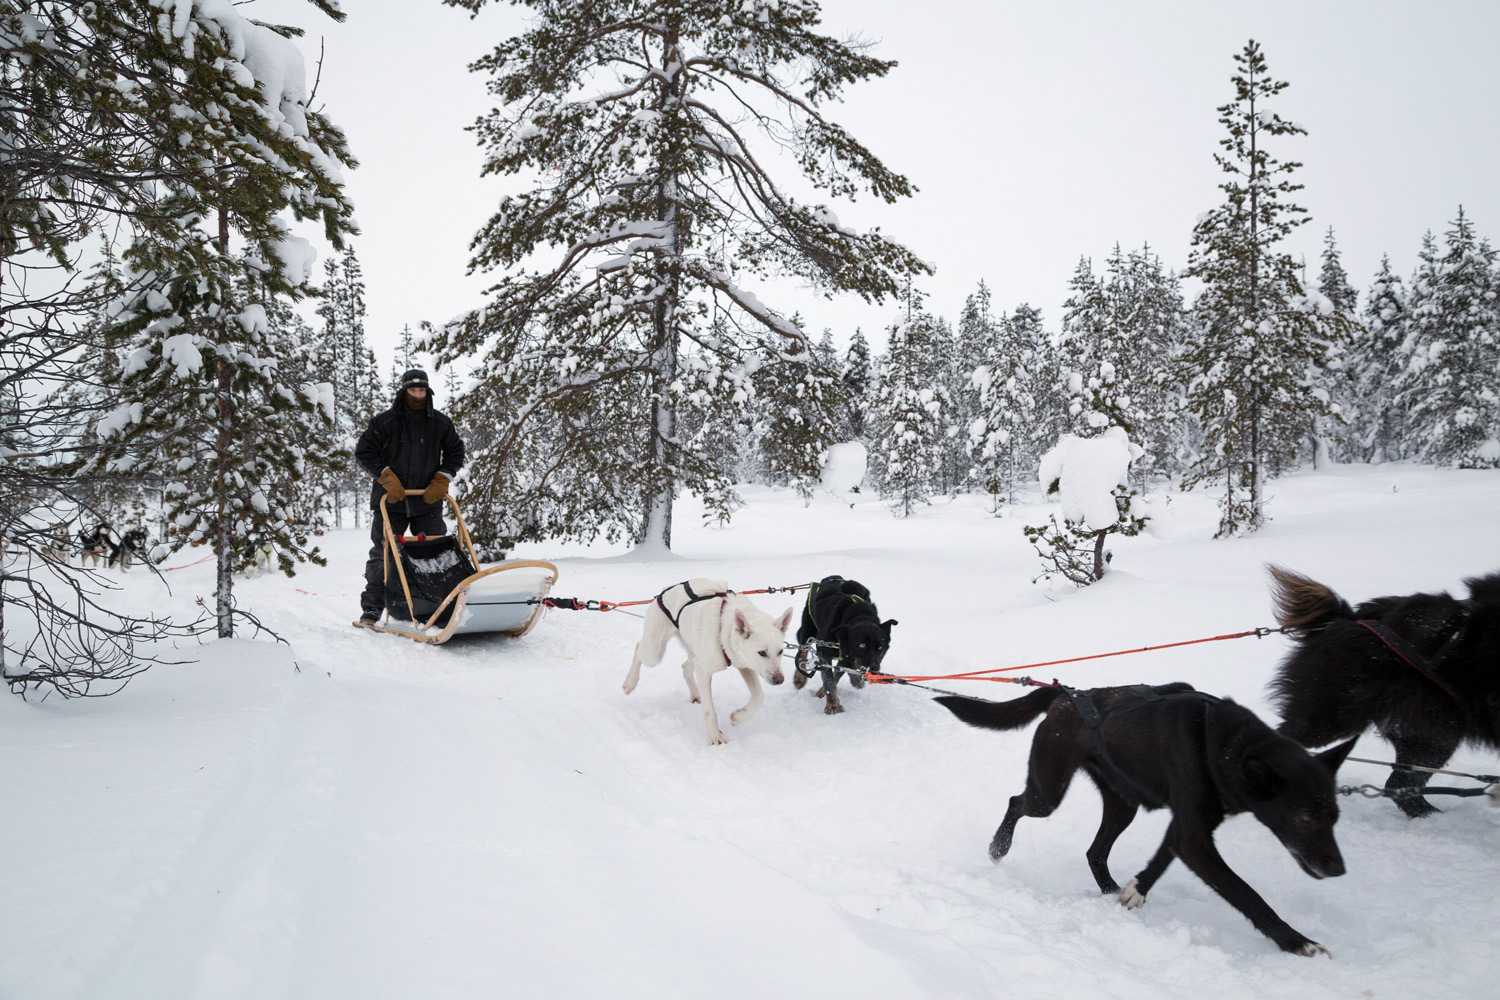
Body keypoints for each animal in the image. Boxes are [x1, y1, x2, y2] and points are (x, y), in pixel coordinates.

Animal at [621, 578, 798, 743]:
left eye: (780, 652)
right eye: (762, 653)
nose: (779, 679)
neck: (723, 626)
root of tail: (664, 592)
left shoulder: (744, 665)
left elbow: (759, 696)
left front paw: (739, 716)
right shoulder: (704, 670)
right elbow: (709, 710)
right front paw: (715, 737)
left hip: (693, 650)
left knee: (685, 667)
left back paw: (695, 694)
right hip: (655, 652)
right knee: (638, 648)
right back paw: (630, 682)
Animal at [798, 575, 888, 716]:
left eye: (880, 647)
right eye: (862, 645)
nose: (873, 668)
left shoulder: (846, 653)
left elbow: (838, 674)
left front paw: (824, 692)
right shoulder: (824, 651)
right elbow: (829, 680)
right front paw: (833, 705)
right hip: (808, 629)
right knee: (802, 650)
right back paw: (799, 678)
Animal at [936, 683, 1362, 959]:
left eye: (1334, 816)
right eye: (1306, 817)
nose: (1339, 869)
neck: (1222, 745)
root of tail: (1065, 696)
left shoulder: (1187, 825)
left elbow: (1161, 858)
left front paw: (1135, 890)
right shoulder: (1195, 839)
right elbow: (1249, 896)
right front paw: (1298, 942)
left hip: (1123, 803)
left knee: (1095, 851)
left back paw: (1109, 889)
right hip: (1049, 791)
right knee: (1016, 802)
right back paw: (999, 846)